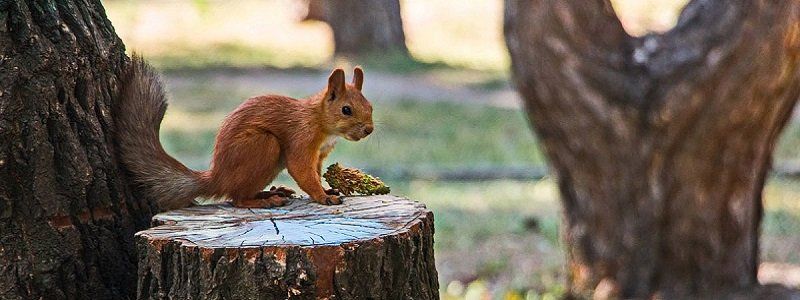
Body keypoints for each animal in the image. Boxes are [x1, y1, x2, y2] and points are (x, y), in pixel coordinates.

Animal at [115, 56, 376, 211]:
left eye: (370, 106)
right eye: (346, 110)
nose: (369, 129)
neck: (320, 122)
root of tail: (217, 176)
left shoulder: (320, 154)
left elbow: (315, 172)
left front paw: (327, 189)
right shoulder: (301, 138)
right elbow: (302, 171)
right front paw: (324, 196)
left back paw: (272, 192)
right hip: (263, 145)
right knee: (236, 198)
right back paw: (268, 200)